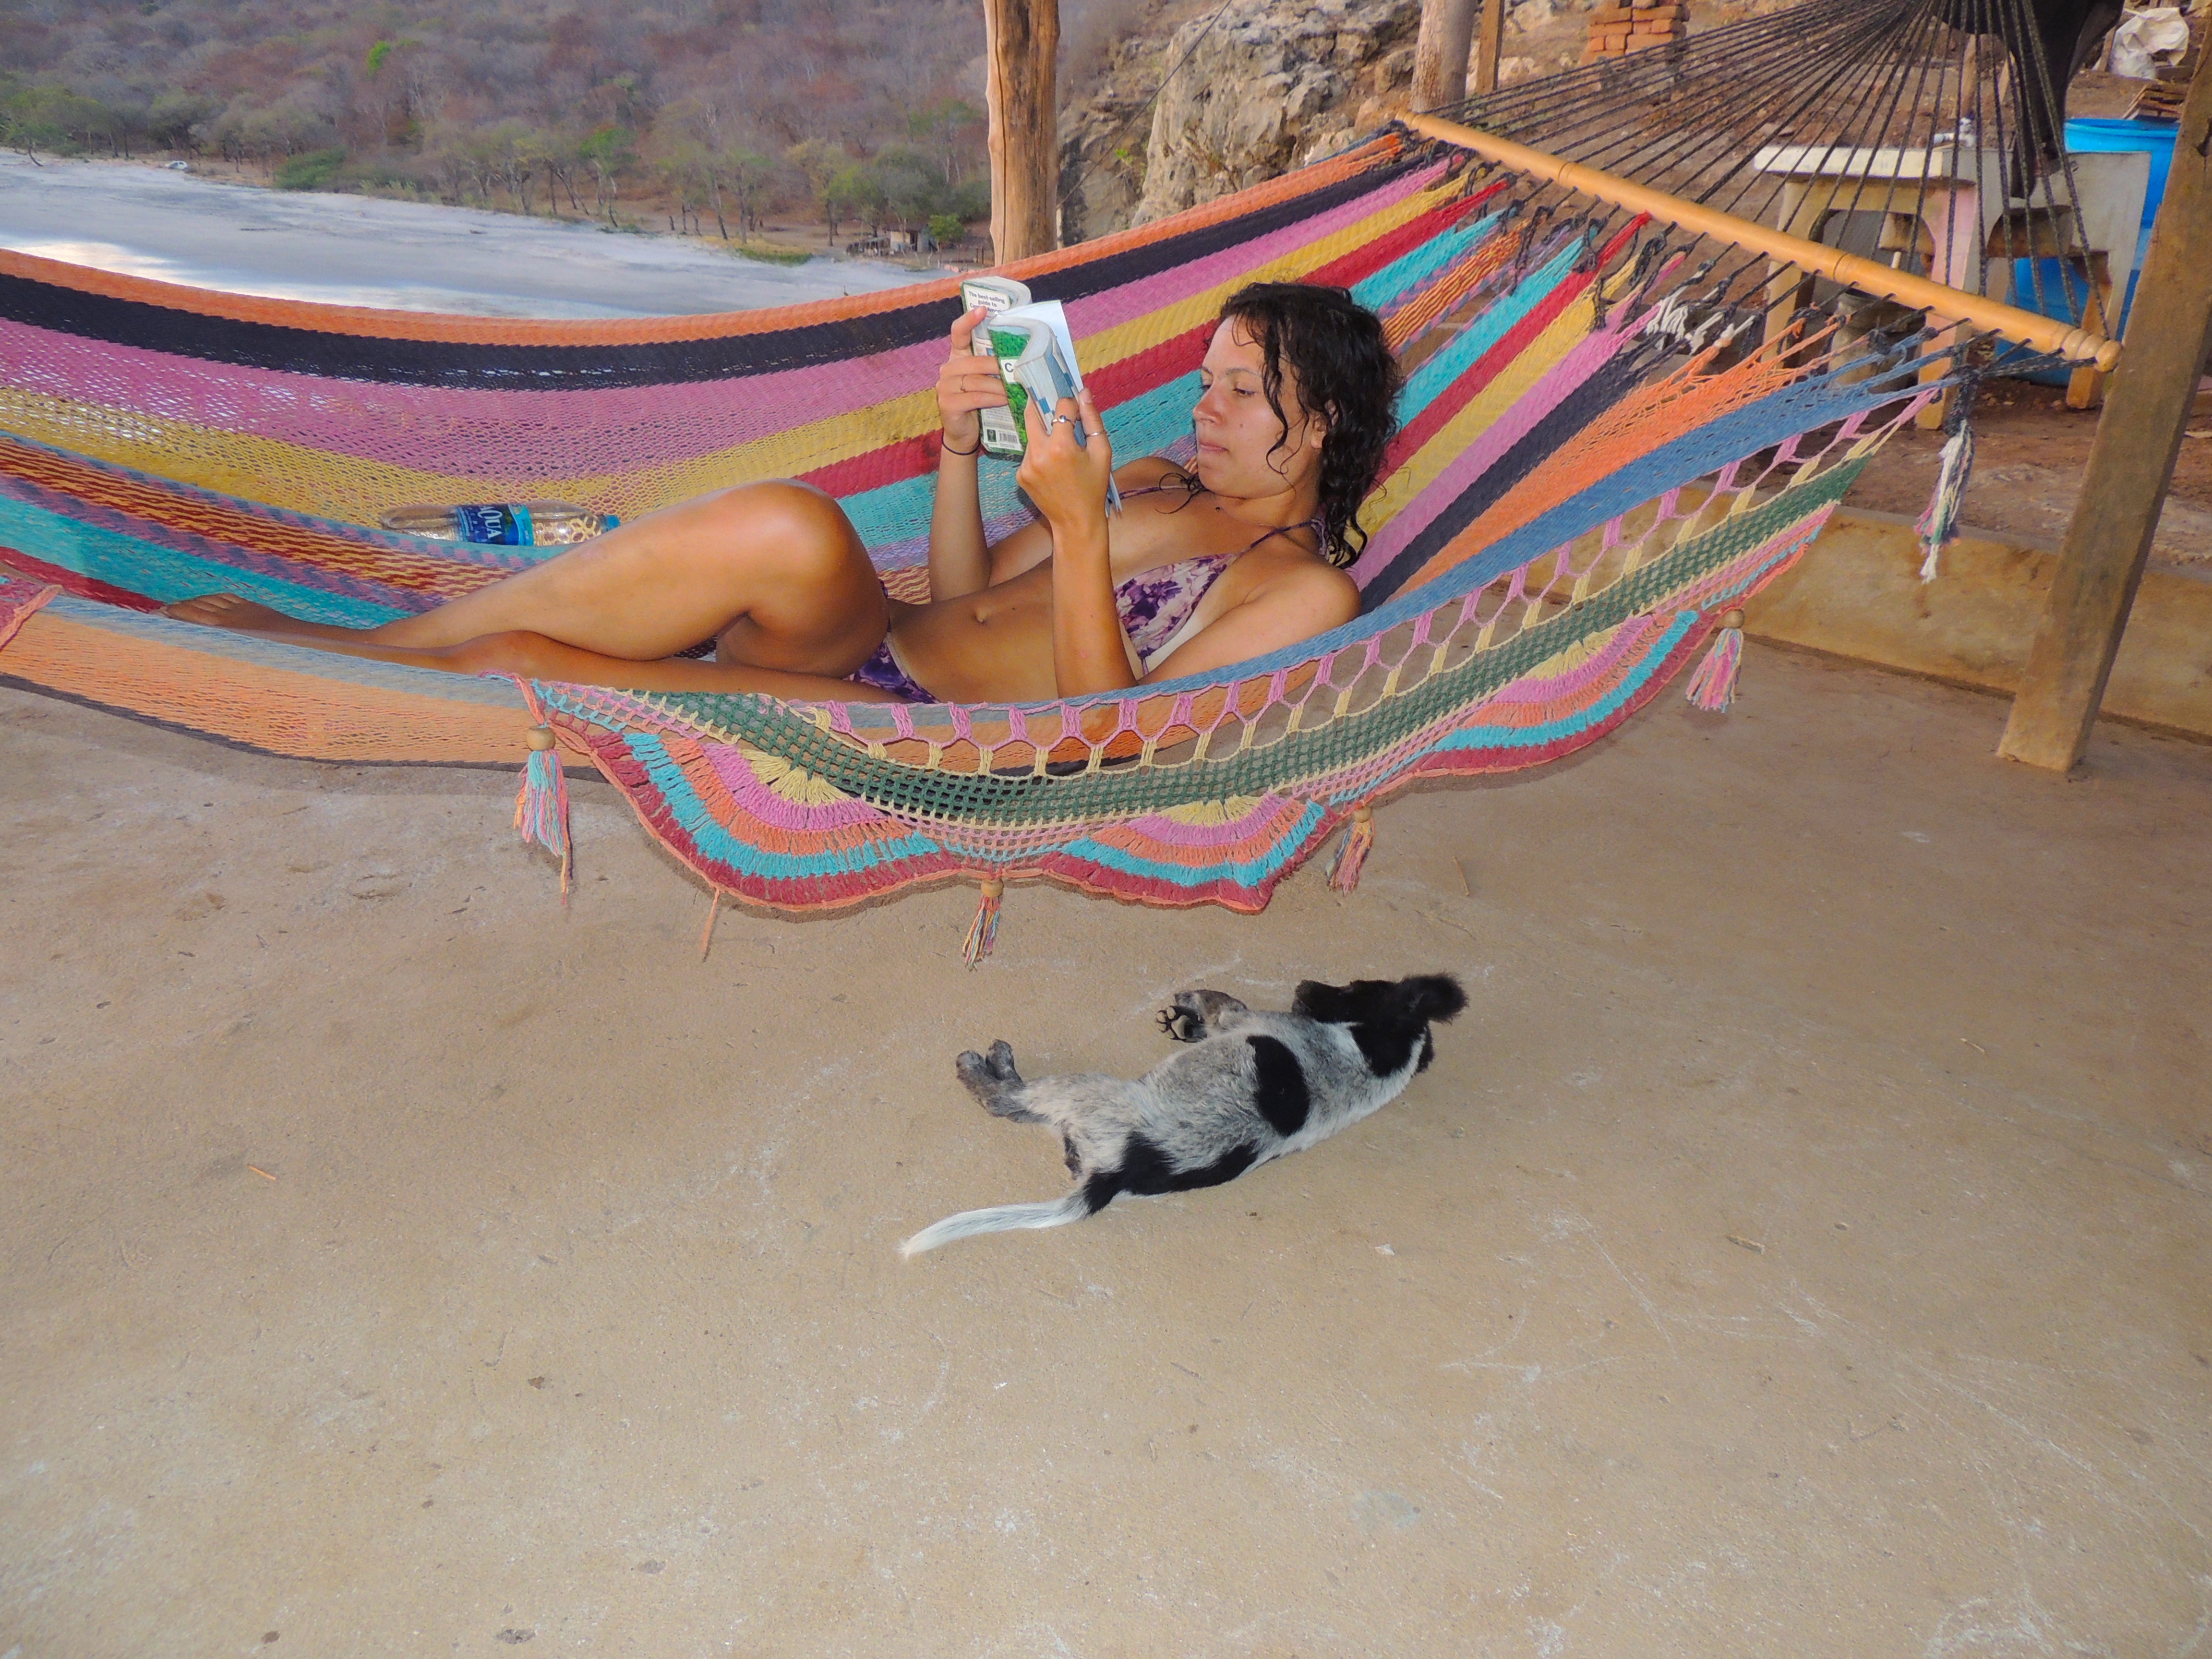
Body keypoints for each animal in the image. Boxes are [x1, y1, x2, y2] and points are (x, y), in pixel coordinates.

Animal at [900, 974, 1467, 1256]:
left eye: (1352, 988)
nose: (1305, 985)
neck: (1375, 1056)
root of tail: (1113, 1175)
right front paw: (1184, 1023)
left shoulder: (1243, 1019)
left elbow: (1223, 1004)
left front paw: (1192, 1004)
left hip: (1088, 1091)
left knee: (1010, 1103)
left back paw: (989, 1072)